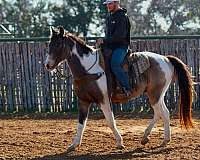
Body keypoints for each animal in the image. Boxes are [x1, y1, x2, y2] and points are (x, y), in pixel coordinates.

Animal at [45, 26, 194, 151]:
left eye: (58, 44)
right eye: (49, 44)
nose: (47, 65)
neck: (87, 69)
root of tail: (166, 59)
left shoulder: (104, 100)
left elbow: (110, 121)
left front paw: (119, 142)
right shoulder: (83, 101)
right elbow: (81, 123)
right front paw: (74, 144)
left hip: (155, 94)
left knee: (161, 112)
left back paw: (158, 138)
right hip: (157, 95)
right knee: (162, 113)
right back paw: (154, 139)